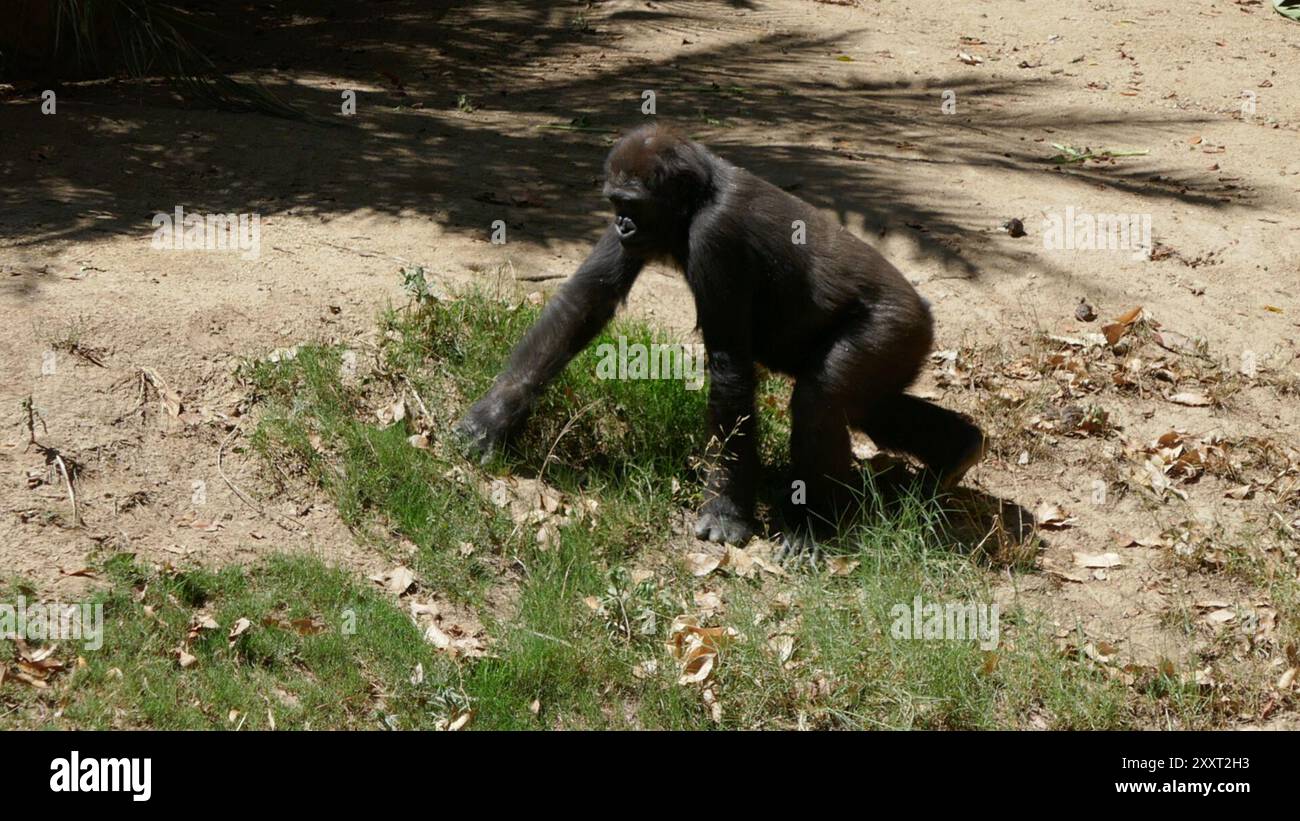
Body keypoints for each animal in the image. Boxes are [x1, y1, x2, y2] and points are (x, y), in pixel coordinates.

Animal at [455, 123, 985, 559]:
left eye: (633, 204)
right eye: (616, 206)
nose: (623, 225)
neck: (700, 195)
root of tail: (925, 314)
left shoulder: (717, 237)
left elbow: (730, 371)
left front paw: (727, 510)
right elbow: (585, 301)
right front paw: (492, 419)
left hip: (892, 327)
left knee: (823, 401)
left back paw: (817, 526)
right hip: (902, 345)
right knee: (872, 407)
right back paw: (957, 453)